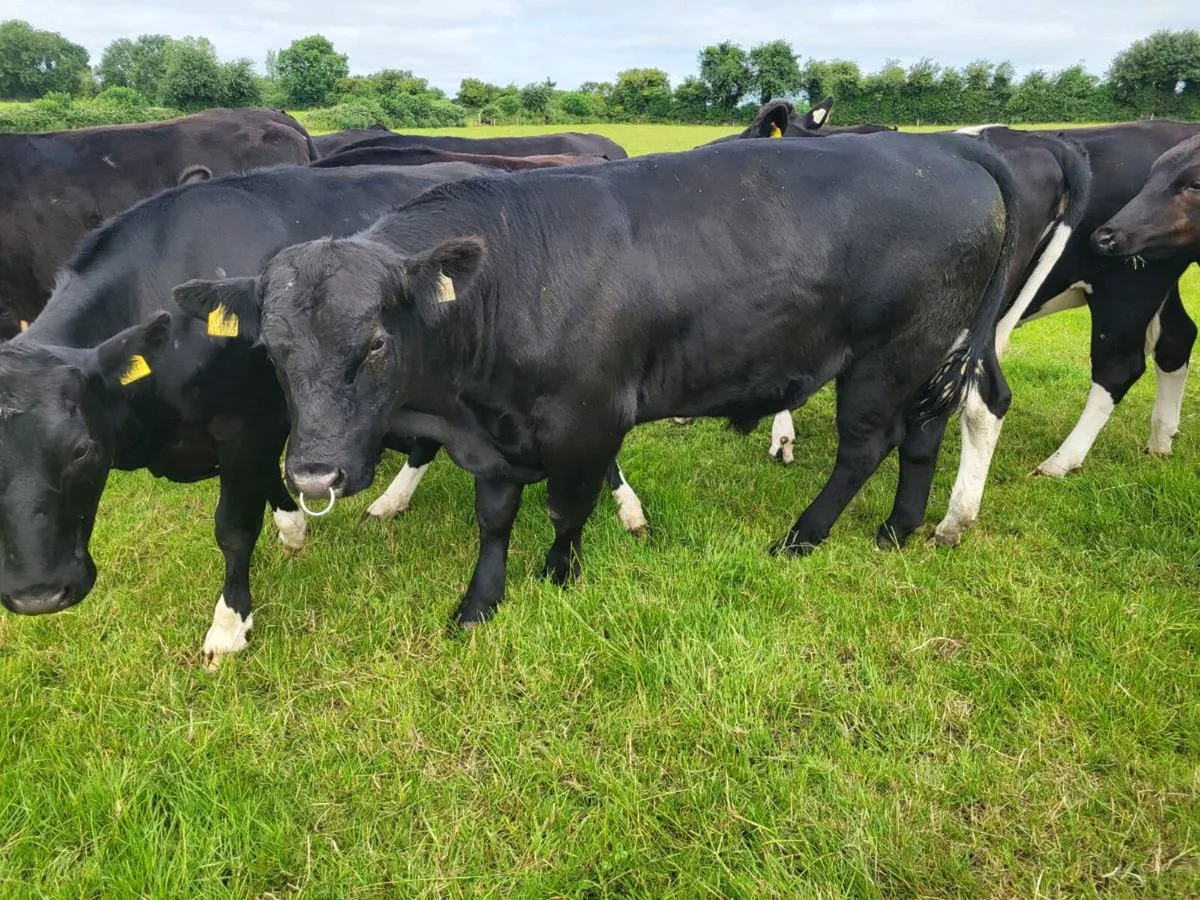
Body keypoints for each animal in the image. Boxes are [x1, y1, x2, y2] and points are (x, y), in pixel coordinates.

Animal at [173, 134, 1081, 631]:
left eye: (373, 343)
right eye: (274, 351)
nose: (312, 474)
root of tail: (944, 146)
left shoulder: (587, 418)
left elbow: (566, 508)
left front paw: (559, 575)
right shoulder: (494, 439)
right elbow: (494, 518)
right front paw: (480, 602)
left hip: (891, 352)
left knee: (868, 445)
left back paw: (805, 535)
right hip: (936, 349)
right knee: (926, 430)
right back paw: (899, 528)